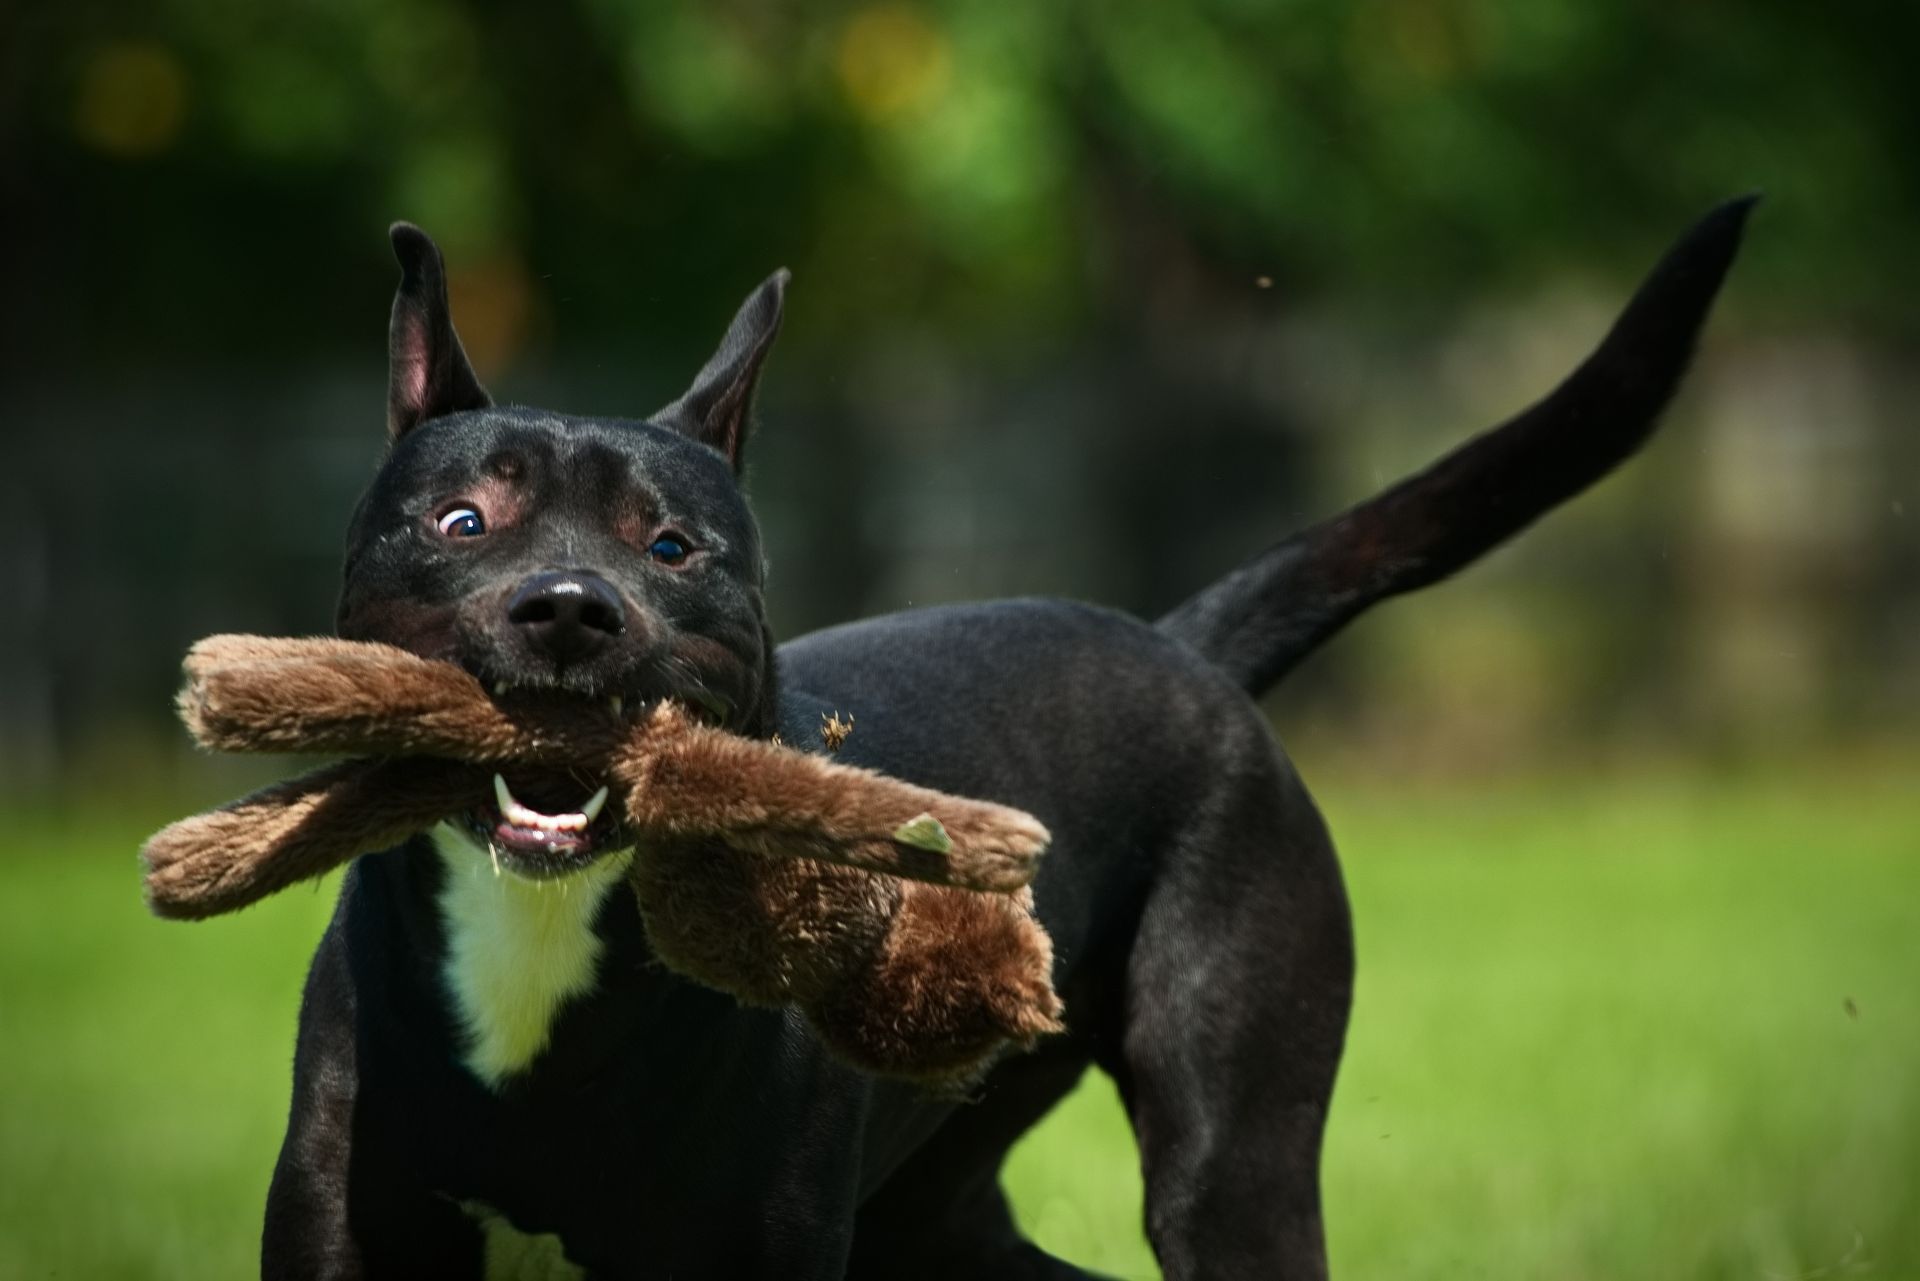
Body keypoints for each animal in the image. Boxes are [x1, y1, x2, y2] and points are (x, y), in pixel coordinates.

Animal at [266, 195, 1758, 1275]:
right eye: (463, 520)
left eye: (673, 548)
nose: (573, 610)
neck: (541, 930)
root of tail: (1183, 645)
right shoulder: (339, 1225)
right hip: (937, 1211)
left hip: (1231, 1158)